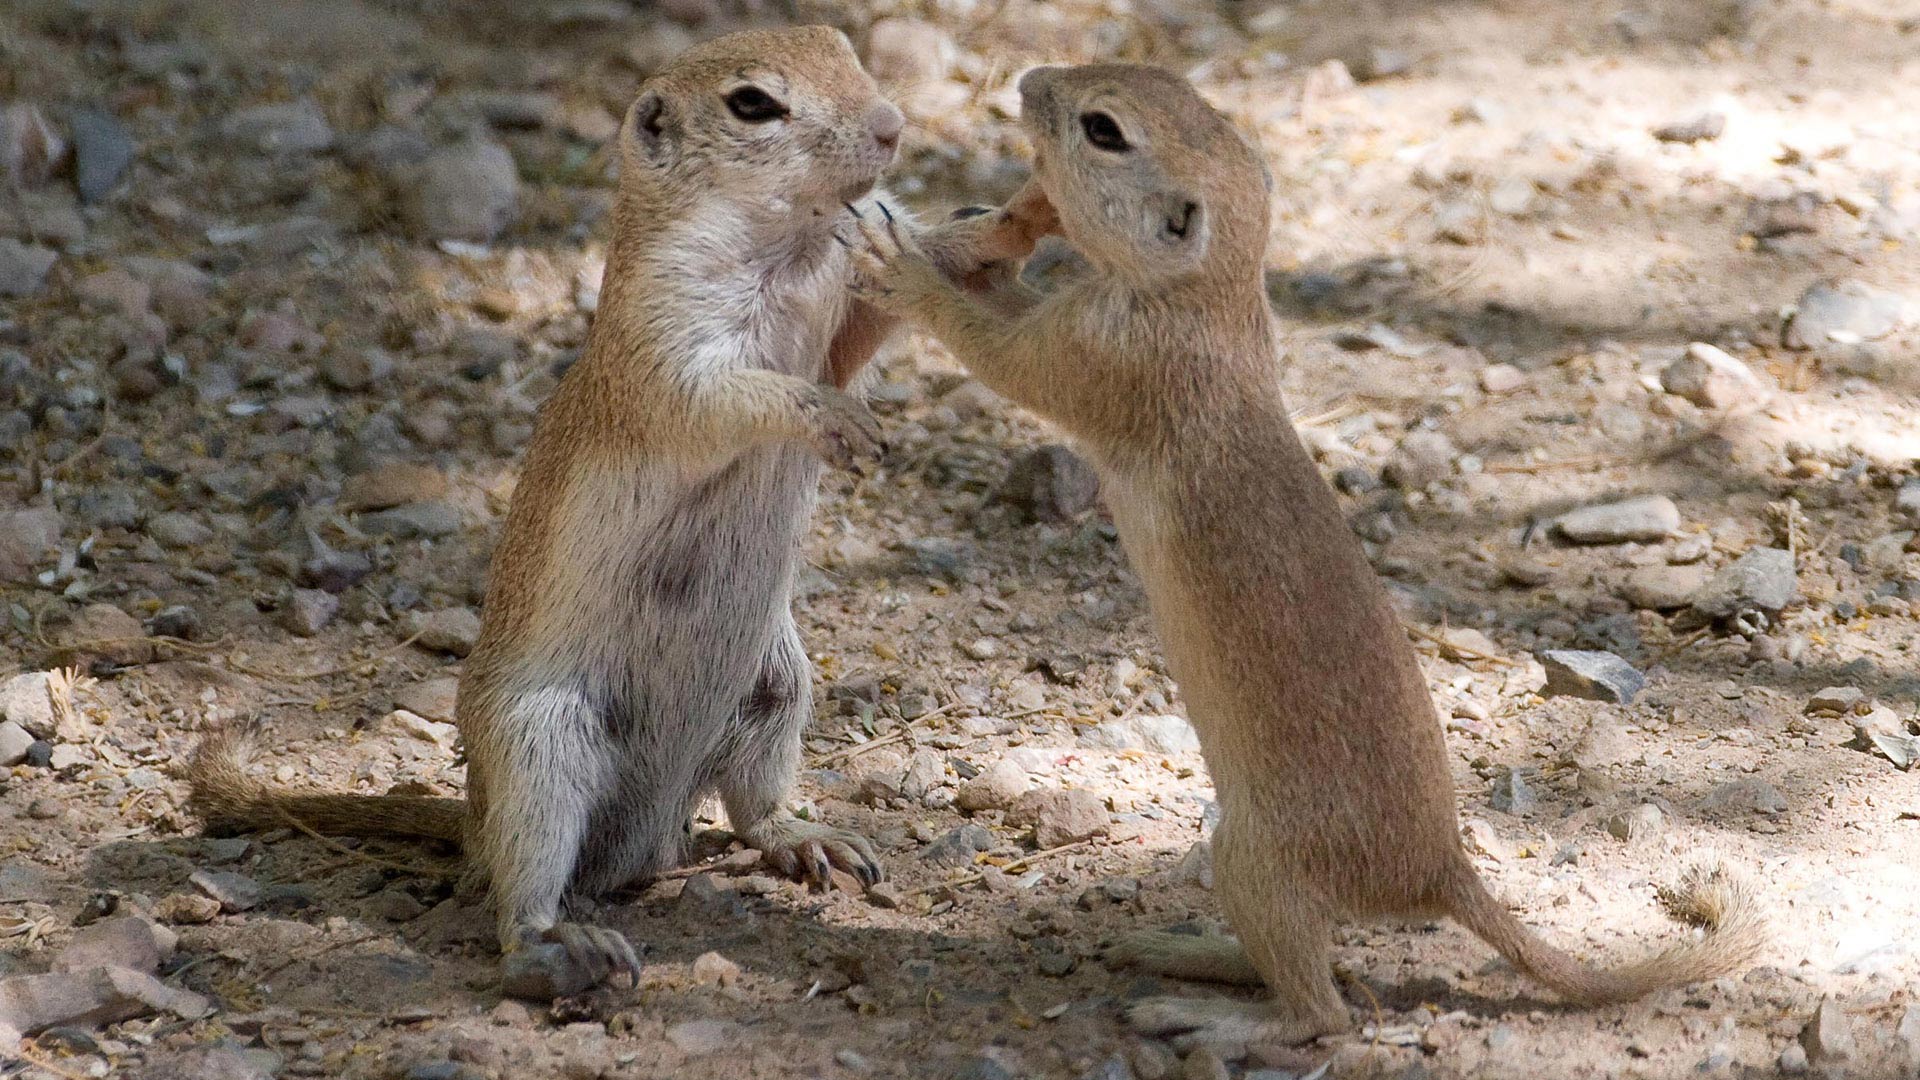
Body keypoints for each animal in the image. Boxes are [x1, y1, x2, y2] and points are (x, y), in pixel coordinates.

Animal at [183, 25, 1052, 999]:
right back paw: (559, 946)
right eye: (754, 103)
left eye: (843, 45)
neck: (788, 246)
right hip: (540, 746)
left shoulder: (839, 311)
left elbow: (872, 319)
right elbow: (727, 398)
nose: (893, 126)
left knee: (751, 807)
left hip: (778, 683)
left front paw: (1000, 226)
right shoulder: (664, 340)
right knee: (521, 886)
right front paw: (835, 418)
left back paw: (807, 839)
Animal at [848, 65, 1758, 1045]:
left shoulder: (1101, 354)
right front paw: (998, 232)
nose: (1028, 80)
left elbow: (998, 352)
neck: (1211, 293)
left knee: (1324, 1013)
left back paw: (1200, 1013)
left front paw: (903, 262)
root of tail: (1443, 871)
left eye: (1103, 130)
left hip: (1251, 860)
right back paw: (1177, 950)